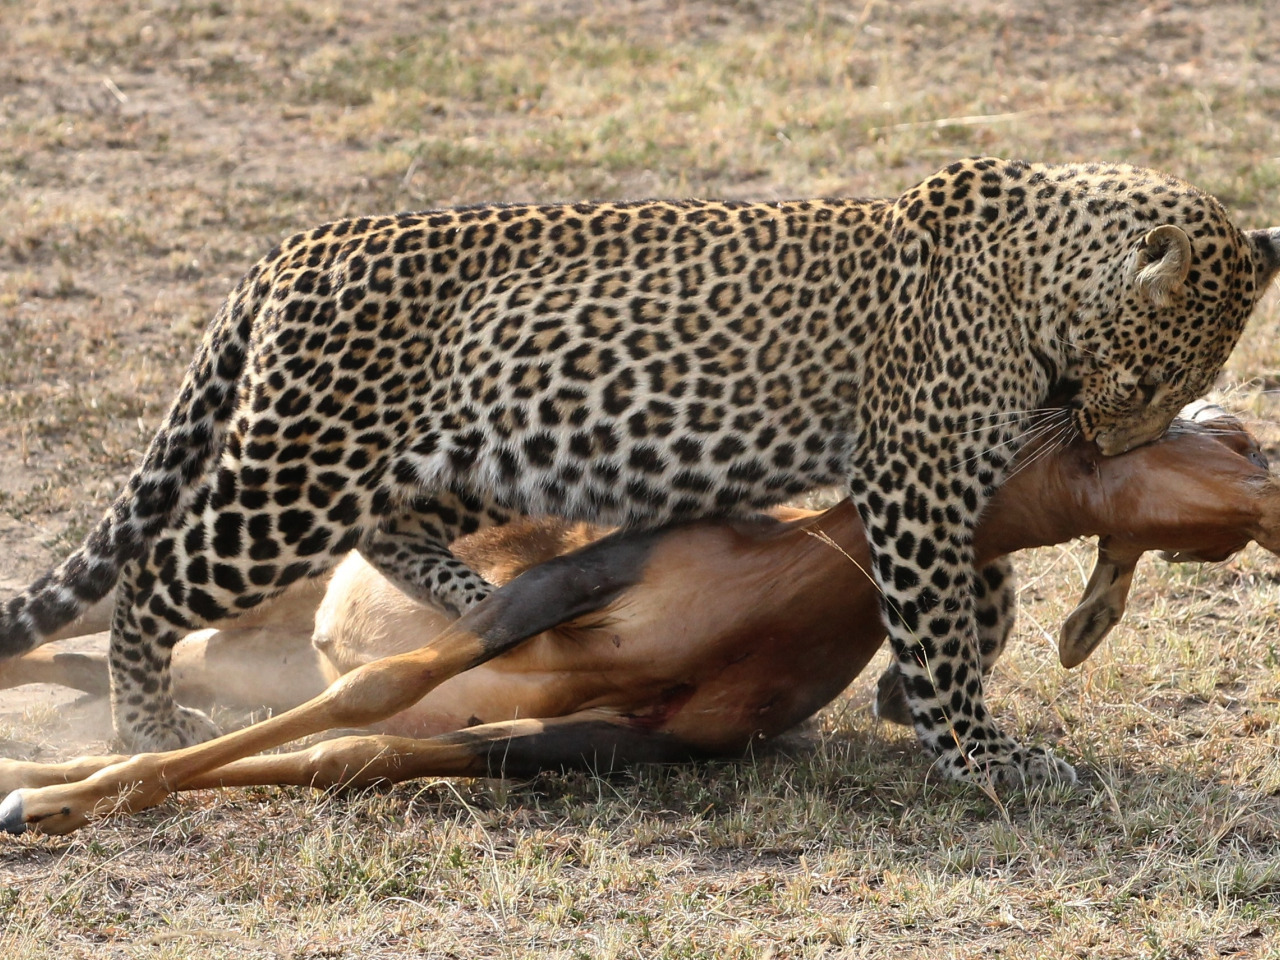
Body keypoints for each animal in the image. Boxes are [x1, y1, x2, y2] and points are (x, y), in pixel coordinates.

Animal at [2, 158, 1280, 788]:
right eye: (1142, 378)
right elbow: (938, 616)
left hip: (492, 446)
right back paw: (143, 726)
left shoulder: (935, 482)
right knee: (156, 579)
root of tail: (293, 245)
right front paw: (978, 754)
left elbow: (981, 593)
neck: (1037, 277)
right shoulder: (914, 478)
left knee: (396, 533)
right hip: (300, 469)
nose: (1113, 448)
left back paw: (479, 605)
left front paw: (915, 690)